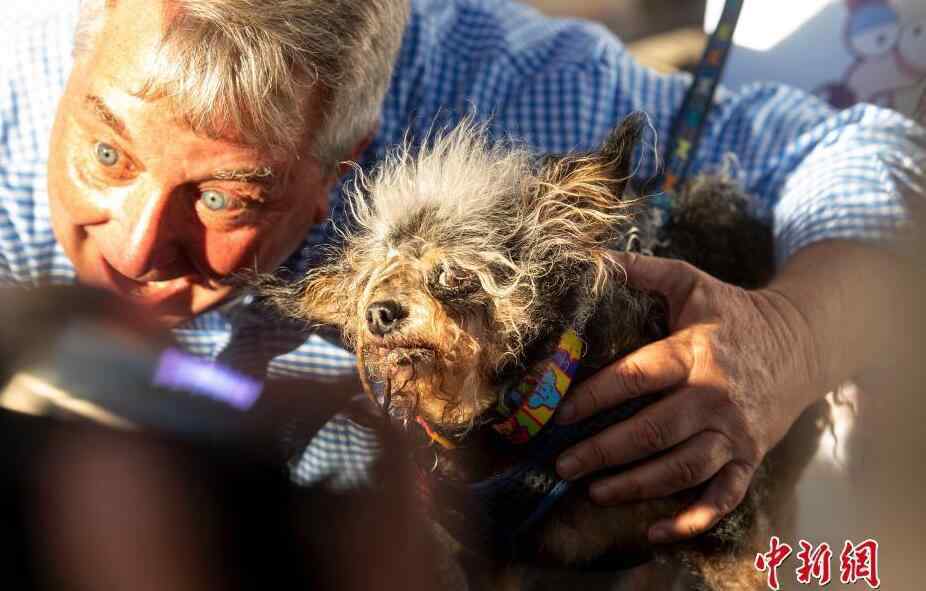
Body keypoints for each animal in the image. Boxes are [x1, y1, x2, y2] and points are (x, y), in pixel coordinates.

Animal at [264, 115, 832, 591]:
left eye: (452, 272)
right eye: (374, 278)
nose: (379, 312)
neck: (532, 417)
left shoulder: (721, 522)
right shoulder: (488, 554)